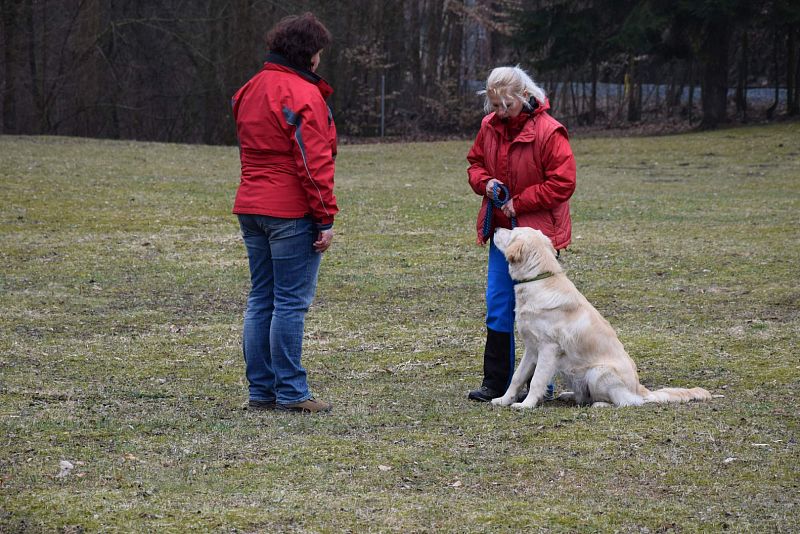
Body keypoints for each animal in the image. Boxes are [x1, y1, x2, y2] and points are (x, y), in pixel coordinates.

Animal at [490, 227, 708, 410]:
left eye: (511, 231)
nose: (495, 228)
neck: (539, 280)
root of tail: (641, 390)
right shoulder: (532, 348)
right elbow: (517, 377)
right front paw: (502, 400)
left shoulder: (548, 348)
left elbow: (536, 381)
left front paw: (525, 405)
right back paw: (569, 395)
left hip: (599, 372)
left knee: (625, 402)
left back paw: (600, 404)